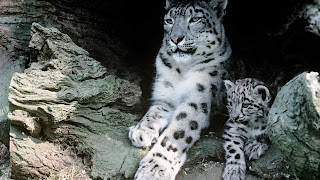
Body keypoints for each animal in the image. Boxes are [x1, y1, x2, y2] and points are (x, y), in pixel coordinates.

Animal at [129, 0, 234, 179]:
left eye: (195, 19)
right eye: (169, 20)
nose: (175, 38)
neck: (183, 69)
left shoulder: (197, 102)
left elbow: (175, 136)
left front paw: (155, 168)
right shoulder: (165, 97)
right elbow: (152, 113)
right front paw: (140, 131)